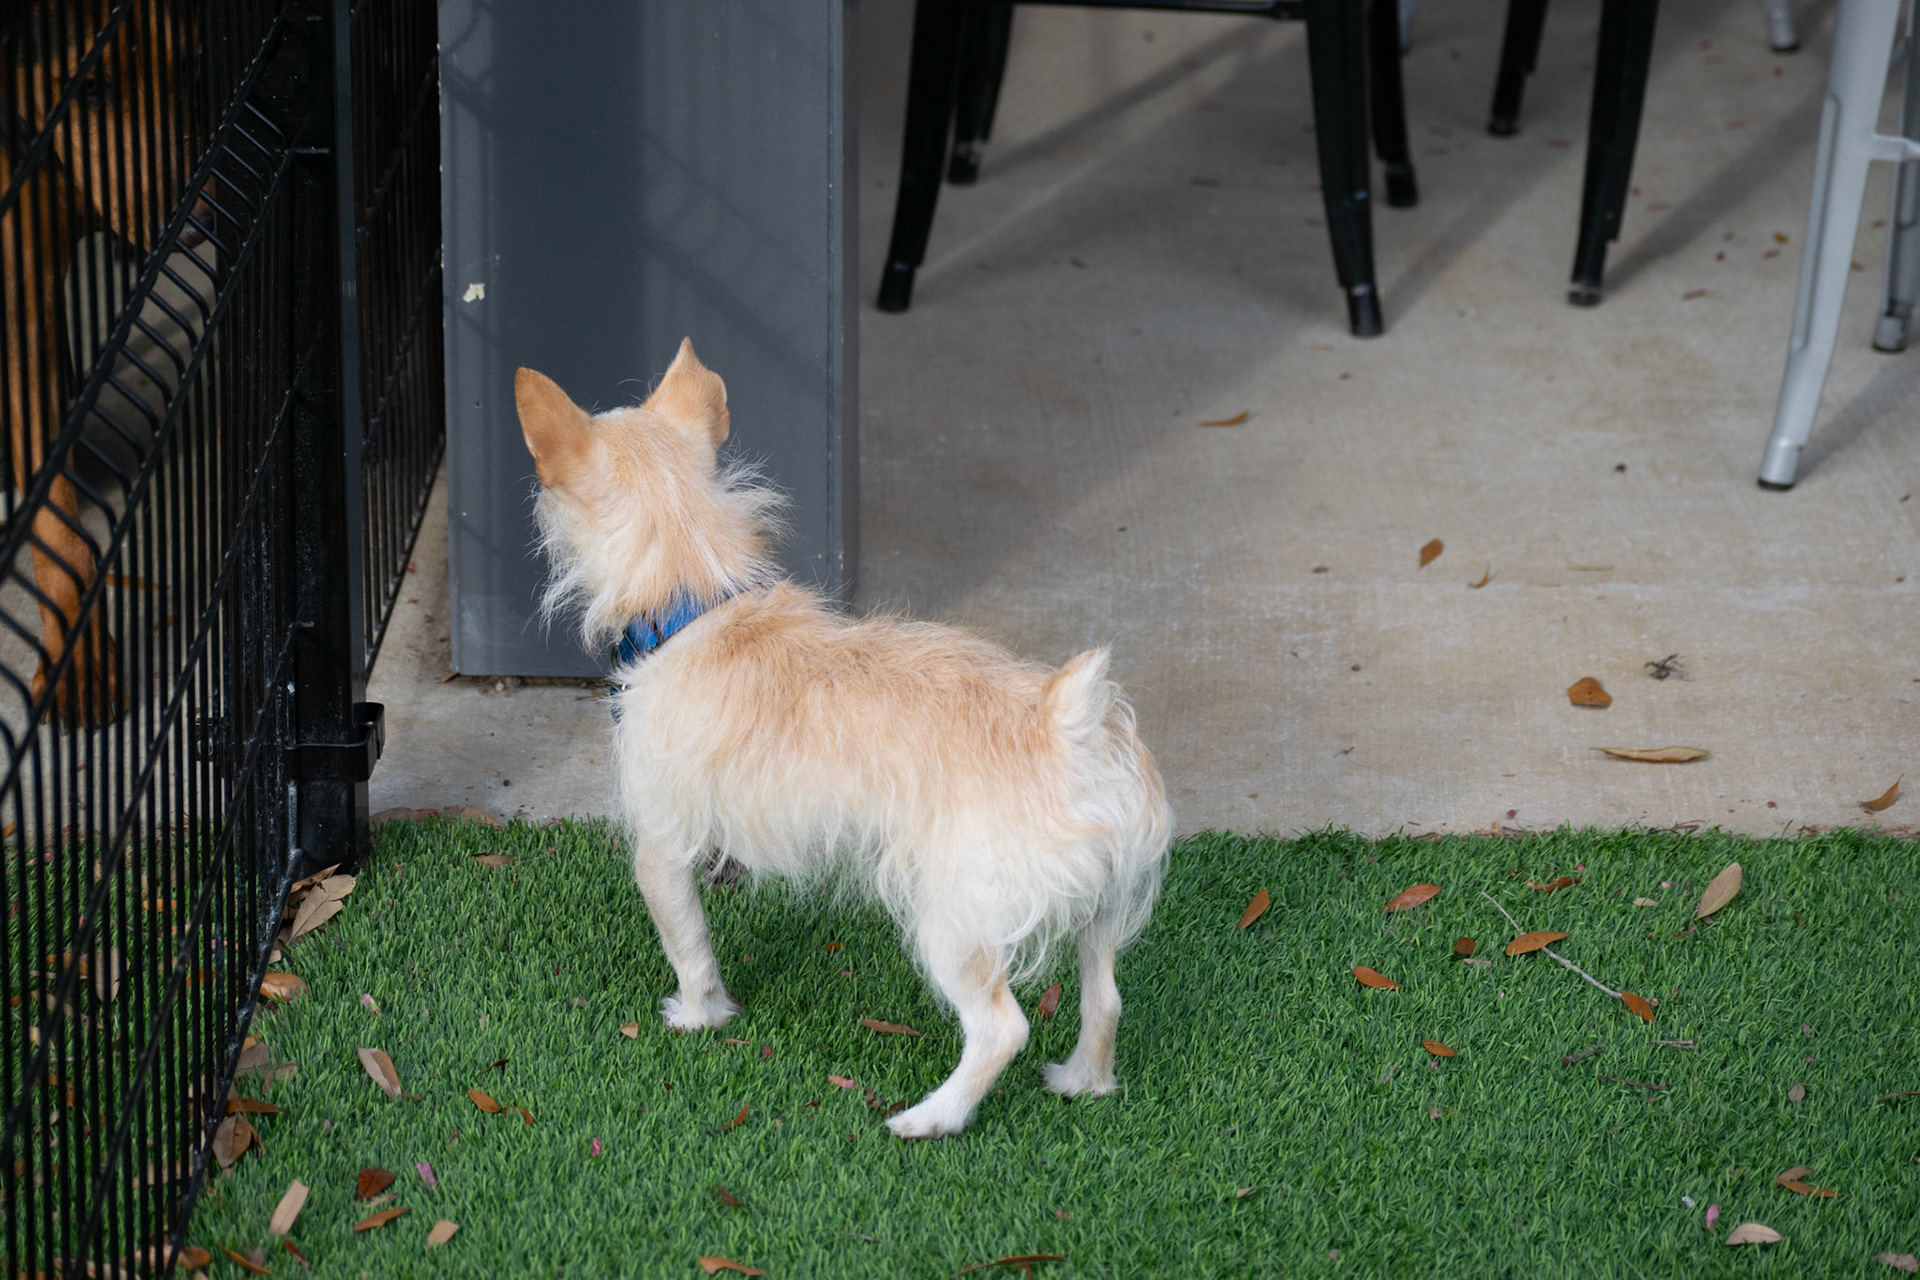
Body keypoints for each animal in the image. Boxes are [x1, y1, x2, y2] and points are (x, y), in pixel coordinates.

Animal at [516, 341, 1171, 1138]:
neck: (694, 598)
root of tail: (1066, 726)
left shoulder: (660, 847)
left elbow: (689, 944)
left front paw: (700, 1016)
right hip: (1100, 913)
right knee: (1105, 999)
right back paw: (1082, 1081)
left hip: (953, 923)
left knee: (1002, 1029)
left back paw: (932, 1118)